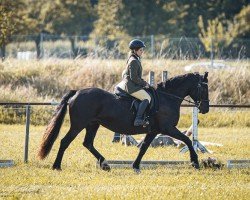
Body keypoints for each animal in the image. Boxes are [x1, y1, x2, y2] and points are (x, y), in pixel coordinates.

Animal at [37, 72, 209, 173]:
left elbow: (143, 148)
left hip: (93, 124)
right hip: (78, 124)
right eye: (204, 88)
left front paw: (136, 166)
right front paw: (195, 162)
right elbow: (187, 140)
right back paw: (57, 166)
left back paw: (105, 165)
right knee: (65, 141)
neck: (167, 97)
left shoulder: (153, 131)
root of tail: (77, 92)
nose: (205, 109)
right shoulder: (168, 128)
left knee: (88, 143)